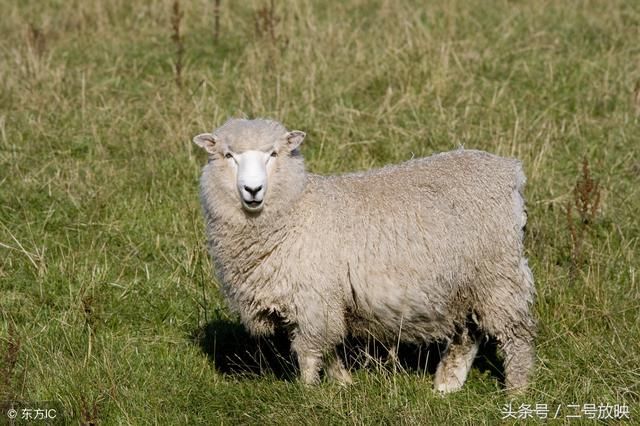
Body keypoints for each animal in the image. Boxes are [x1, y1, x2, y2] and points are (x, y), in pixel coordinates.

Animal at [192, 117, 536, 392]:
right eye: (228, 156)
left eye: (273, 154)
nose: (252, 190)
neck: (297, 208)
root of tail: (510, 171)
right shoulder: (318, 300)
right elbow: (328, 346)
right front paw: (343, 382)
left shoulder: (313, 298)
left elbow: (309, 351)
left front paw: (307, 393)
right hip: (465, 282)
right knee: (468, 334)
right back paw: (446, 385)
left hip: (498, 273)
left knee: (516, 336)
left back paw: (516, 391)